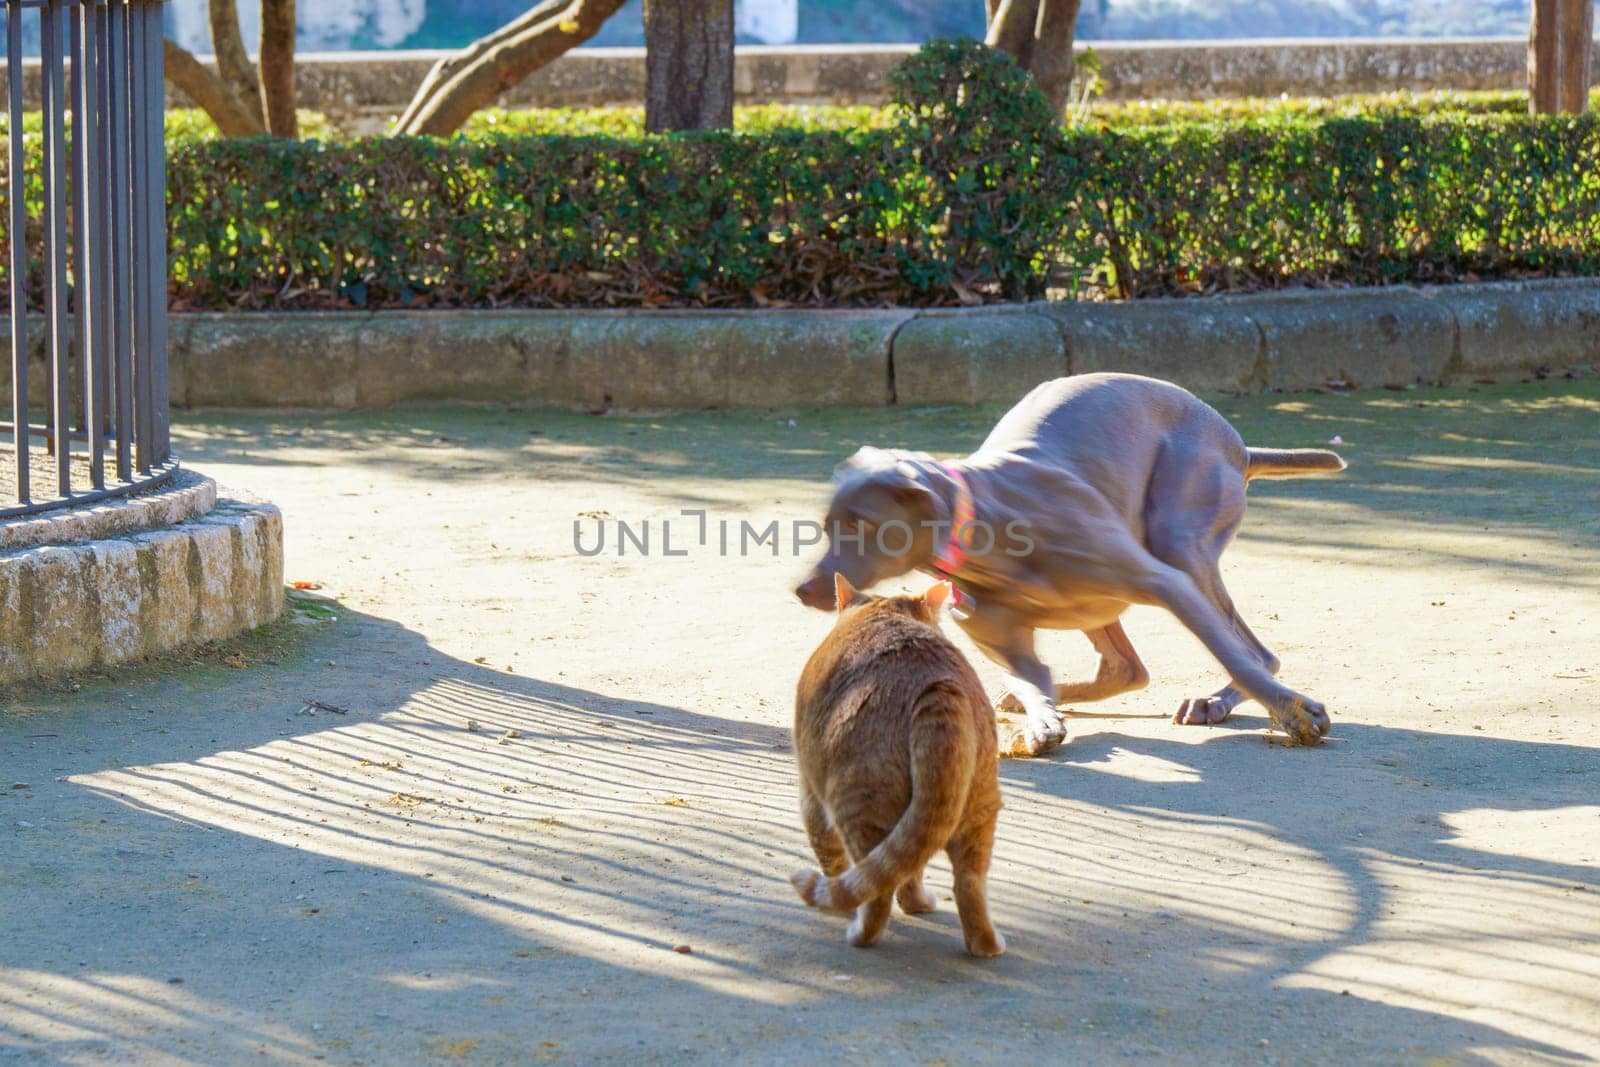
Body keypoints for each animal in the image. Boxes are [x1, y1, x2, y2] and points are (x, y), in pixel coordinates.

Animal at [787, 575, 998, 959]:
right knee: (965, 883)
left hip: (857, 806)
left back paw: (859, 933)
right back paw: (984, 945)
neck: (881, 609)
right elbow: (909, 871)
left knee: (876, 892)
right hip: (977, 814)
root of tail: (938, 685)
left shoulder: (810, 795)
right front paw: (915, 904)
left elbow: (833, 859)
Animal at [793, 371, 1344, 755]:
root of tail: (1240, 446)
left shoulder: (1164, 581)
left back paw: (1216, 702)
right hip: (1099, 604)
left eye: (861, 522)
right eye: (826, 523)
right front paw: (1038, 718)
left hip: (1179, 537)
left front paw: (1298, 714)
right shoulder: (997, 638)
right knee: (1125, 669)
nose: (804, 588)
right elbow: (1032, 676)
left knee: (1255, 653)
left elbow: (1237, 658)